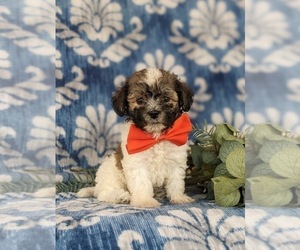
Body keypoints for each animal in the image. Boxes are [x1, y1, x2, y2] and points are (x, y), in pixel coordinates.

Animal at [77, 68, 195, 207]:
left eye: (166, 98)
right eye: (140, 100)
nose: (154, 113)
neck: (156, 137)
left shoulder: (175, 161)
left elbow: (176, 182)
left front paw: (179, 198)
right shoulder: (137, 164)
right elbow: (141, 183)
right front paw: (144, 201)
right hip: (111, 176)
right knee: (104, 194)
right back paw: (121, 196)